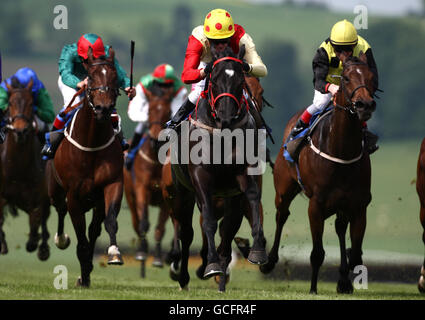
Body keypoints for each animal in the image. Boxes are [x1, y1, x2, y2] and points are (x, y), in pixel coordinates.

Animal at [0, 77, 50, 260]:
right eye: (10, 103)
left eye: (30, 103)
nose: (20, 130)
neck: (18, 167)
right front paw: (2, 244)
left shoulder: (37, 199)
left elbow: (36, 221)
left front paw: (35, 243)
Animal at [47, 47, 126, 288]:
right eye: (90, 77)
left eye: (114, 77)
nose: (103, 108)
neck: (91, 143)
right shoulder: (73, 194)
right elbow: (80, 236)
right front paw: (83, 274)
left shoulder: (111, 185)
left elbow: (110, 222)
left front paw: (113, 254)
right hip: (55, 191)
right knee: (60, 210)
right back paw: (62, 240)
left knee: (95, 228)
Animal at [123, 84, 175, 272]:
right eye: (150, 110)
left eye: (168, 111)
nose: (157, 139)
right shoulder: (141, 189)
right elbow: (144, 222)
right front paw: (142, 252)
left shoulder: (167, 196)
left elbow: (160, 228)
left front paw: (158, 258)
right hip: (130, 196)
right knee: (136, 222)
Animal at [260, 53, 376, 296]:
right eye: (347, 78)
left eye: (371, 77)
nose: (365, 104)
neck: (341, 150)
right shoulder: (316, 204)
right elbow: (317, 253)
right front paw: (313, 288)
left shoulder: (358, 205)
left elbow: (355, 253)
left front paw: (344, 281)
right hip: (284, 189)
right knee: (281, 216)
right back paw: (269, 261)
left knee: (340, 228)